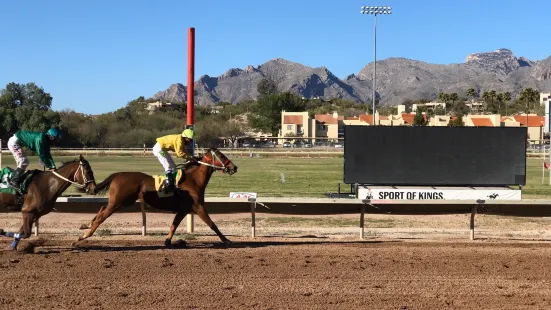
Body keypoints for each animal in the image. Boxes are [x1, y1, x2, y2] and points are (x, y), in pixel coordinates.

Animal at [77, 148, 237, 247]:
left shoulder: (183, 210)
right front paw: (227, 240)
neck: (193, 180)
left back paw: (86, 225)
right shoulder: (198, 207)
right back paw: (84, 235)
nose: (234, 167)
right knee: (102, 216)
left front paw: (168, 241)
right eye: (222, 156)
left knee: (102, 208)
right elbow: (212, 224)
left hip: (122, 201)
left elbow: (174, 225)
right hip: (118, 201)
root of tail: (118, 174)